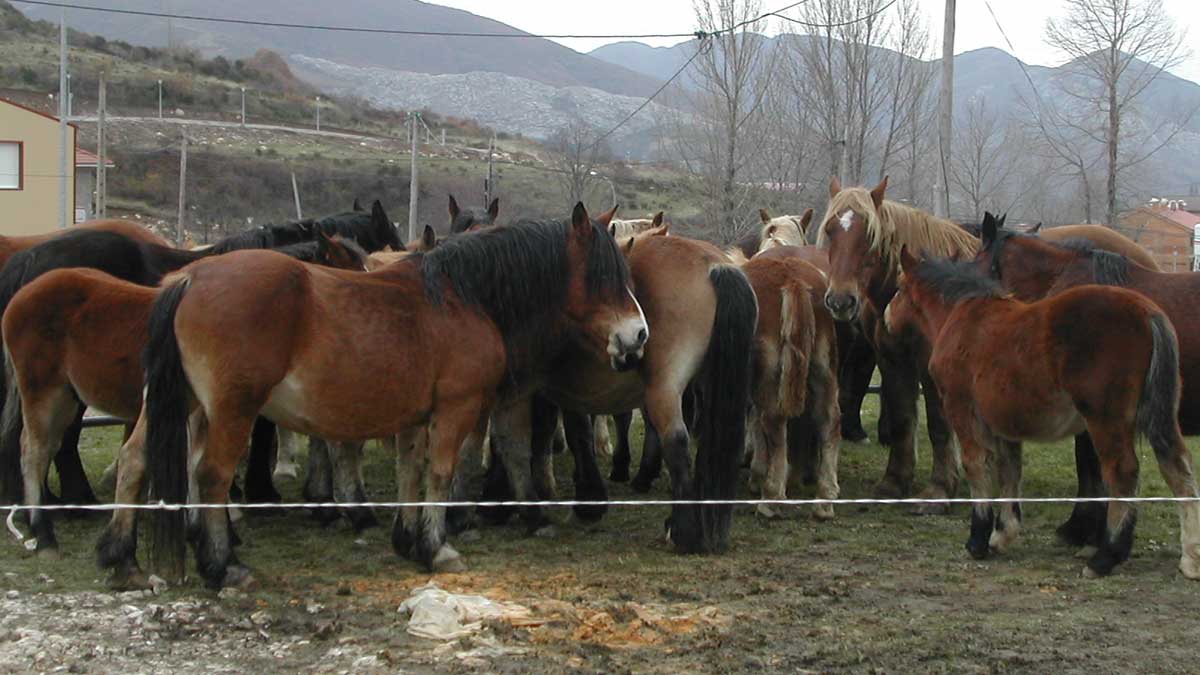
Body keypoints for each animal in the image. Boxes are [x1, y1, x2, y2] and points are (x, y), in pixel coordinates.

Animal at [130, 201, 648, 586]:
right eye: (603, 276)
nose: (638, 336)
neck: (462, 299)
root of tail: (189, 278)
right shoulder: (455, 409)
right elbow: (440, 472)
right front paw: (436, 547)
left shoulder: (416, 415)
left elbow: (409, 470)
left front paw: (406, 538)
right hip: (234, 411)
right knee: (213, 475)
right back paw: (222, 565)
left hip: (199, 410)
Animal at [734, 249, 840, 516]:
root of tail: (793, 279)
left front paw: (758, 474)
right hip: (824, 370)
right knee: (829, 419)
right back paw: (825, 498)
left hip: (770, 374)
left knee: (773, 420)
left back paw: (771, 497)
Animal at [816, 176, 974, 506]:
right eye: (830, 229)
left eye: (870, 234)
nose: (840, 301)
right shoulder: (891, 360)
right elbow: (902, 419)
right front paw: (894, 482)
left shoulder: (929, 367)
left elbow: (939, 423)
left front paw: (940, 489)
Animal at [883, 248, 1200, 578]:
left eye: (900, 286)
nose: (886, 317)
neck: (963, 318)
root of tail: (1148, 312)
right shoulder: (1003, 423)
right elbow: (1009, 470)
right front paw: (1002, 534)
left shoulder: (962, 410)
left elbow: (976, 466)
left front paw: (977, 541)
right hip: (1157, 417)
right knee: (1178, 468)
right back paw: (1190, 558)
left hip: (1106, 420)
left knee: (1122, 472)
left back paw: (1105, 557)